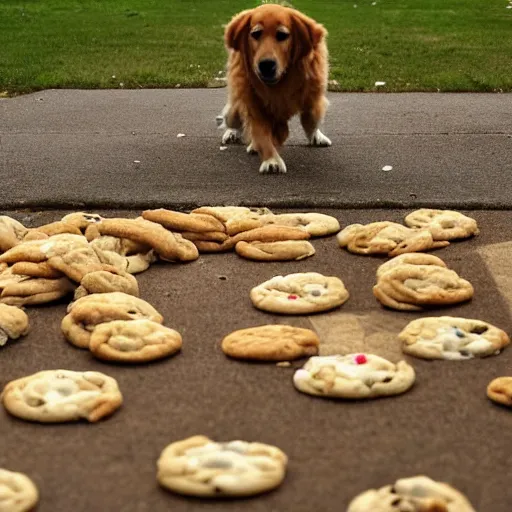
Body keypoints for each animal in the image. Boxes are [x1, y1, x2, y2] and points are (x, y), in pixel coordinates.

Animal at [217, 2, 330, 174]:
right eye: (256, 34)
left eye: (282, 35)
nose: (266, 65)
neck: (279, 84)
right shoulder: (254, 103)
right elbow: (262, 134)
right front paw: (272, 160)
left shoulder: (311, 95)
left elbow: (311, 118)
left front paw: (316, 136)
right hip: (235, 106)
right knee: (233, 118)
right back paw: (234, 134)